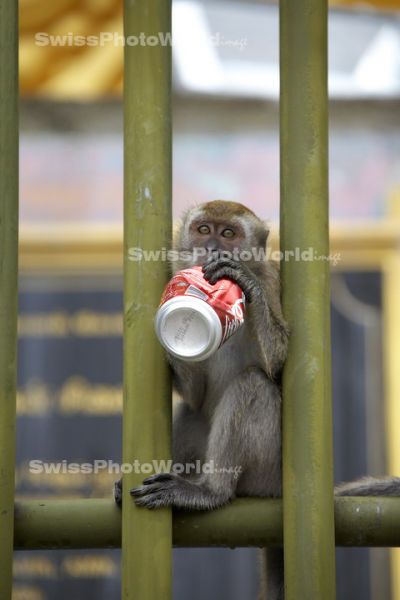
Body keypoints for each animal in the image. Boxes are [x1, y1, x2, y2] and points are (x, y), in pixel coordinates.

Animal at [115, 199, 400, 596]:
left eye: (228, 234)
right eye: (203, 230)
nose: (211, 248)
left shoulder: (271, 282)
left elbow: (280, 368)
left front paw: (240, 282)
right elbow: (194, 394)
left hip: (266, 470)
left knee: (251, 385)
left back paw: (208, 491)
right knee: (193, 412)